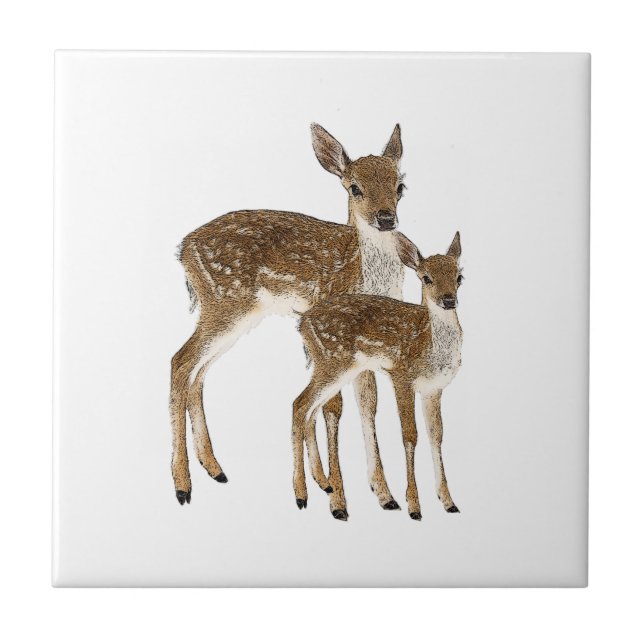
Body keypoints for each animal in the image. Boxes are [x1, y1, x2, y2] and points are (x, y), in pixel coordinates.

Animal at [171, 123, 412, 510]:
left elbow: (368, 404)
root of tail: (183, 249)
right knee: (181, 361)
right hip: (225, 304)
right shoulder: (336, 332)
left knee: (199, 371)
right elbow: (334, 407)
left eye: (400, 186)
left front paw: (383, 495)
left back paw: (215, 469)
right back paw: (183, 486)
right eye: (354, 187)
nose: (386, 218)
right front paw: (336, 497)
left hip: (234, 315)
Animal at [293, 232, 464, 520]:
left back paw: (324, 484)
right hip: (333, 362)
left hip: (337, 368)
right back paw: (303, 495)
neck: (429, 344)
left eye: (459, 276)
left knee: (311, 410)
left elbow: (437, 435)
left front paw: (449, 502)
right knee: (300, 404)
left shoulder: (434, 388)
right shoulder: (401, 375)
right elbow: (410, 435)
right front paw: (414, 507)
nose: (449, 300)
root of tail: (302, 321)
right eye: (426, 277)